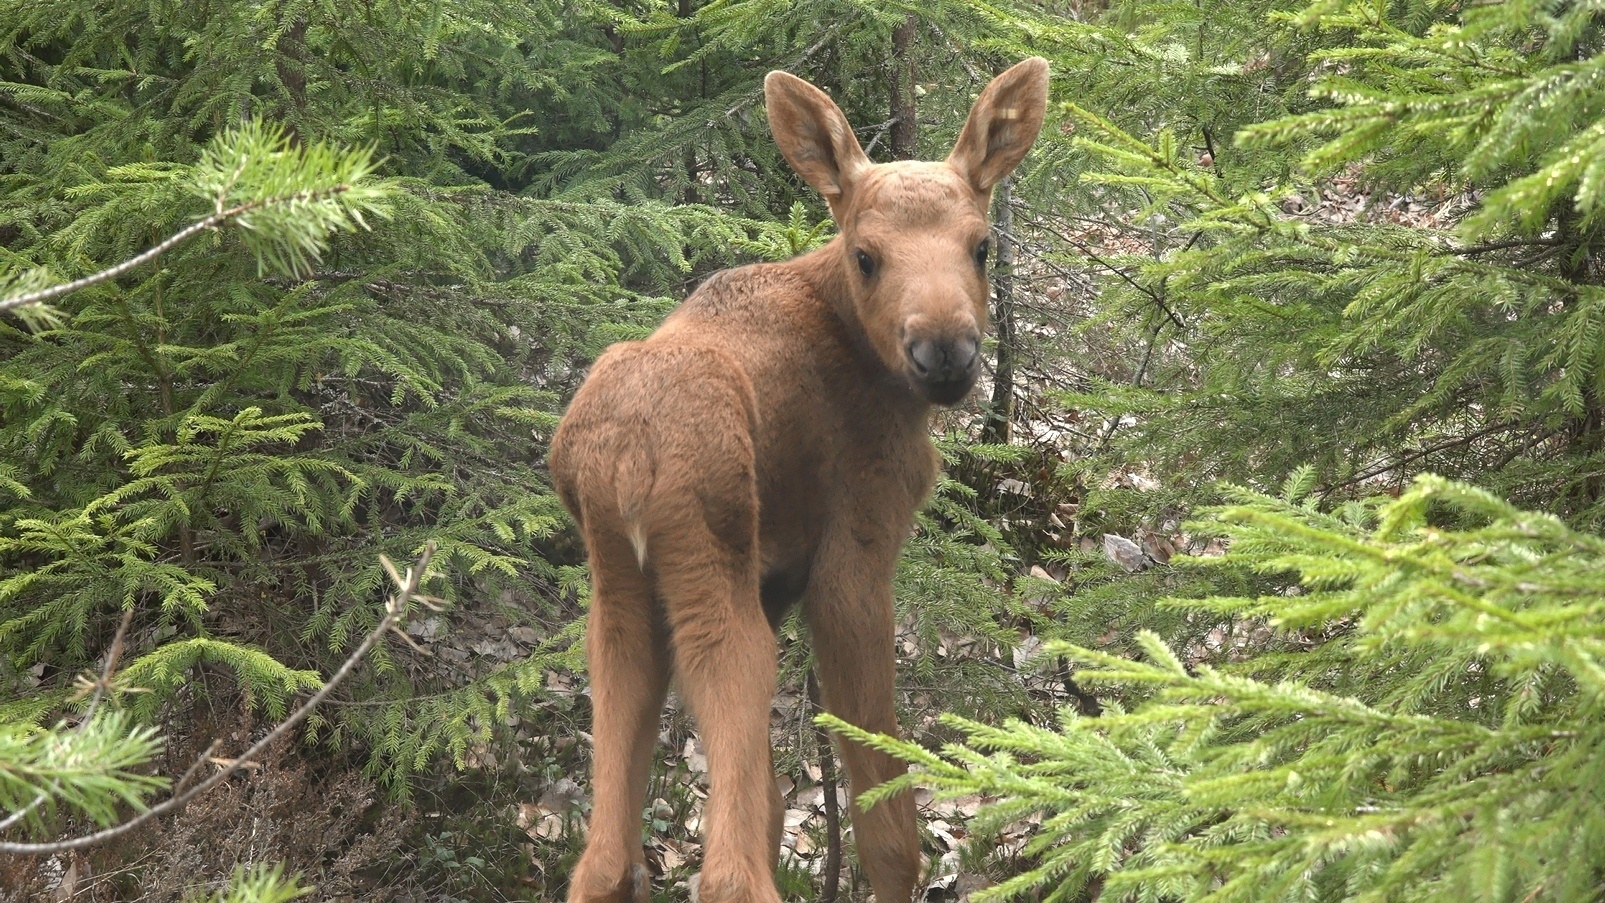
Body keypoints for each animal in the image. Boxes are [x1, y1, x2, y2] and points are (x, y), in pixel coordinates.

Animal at [552, 58, 1052, 903]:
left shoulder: (775, 577)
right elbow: (886, 822)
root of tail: (624, 459)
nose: (944, 353)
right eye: (866, 254)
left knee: (603, 859)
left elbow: (772, 802)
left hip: (618, 597)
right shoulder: (853, 556)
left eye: (981, 245)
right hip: (713, 578)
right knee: (726, 873)